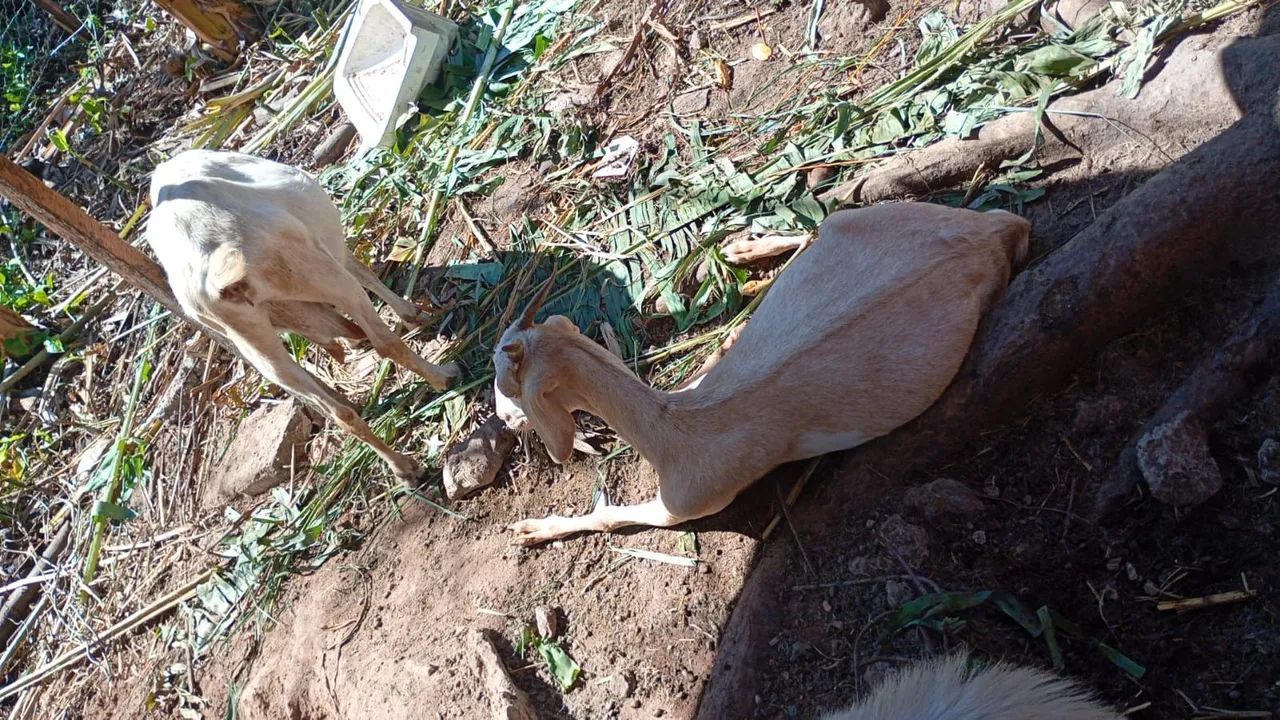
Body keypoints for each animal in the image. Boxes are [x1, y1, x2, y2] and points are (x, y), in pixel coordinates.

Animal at [146, 149, 459, 483]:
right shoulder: (327, 253)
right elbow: (360, 269)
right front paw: (412, 314)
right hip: (313, 271)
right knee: (383, 341)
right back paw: (444, 376)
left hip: (253, 341)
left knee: (335, 410)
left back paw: (404, 467)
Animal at [492, 202, 1029, 543]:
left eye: (503, 378)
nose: (502, 419)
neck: (674, 427)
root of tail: (989, 232)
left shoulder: (684, 504)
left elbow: (608, 517)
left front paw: (530, 531)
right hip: (860, 219)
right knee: (823, 222)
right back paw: (741, 252)